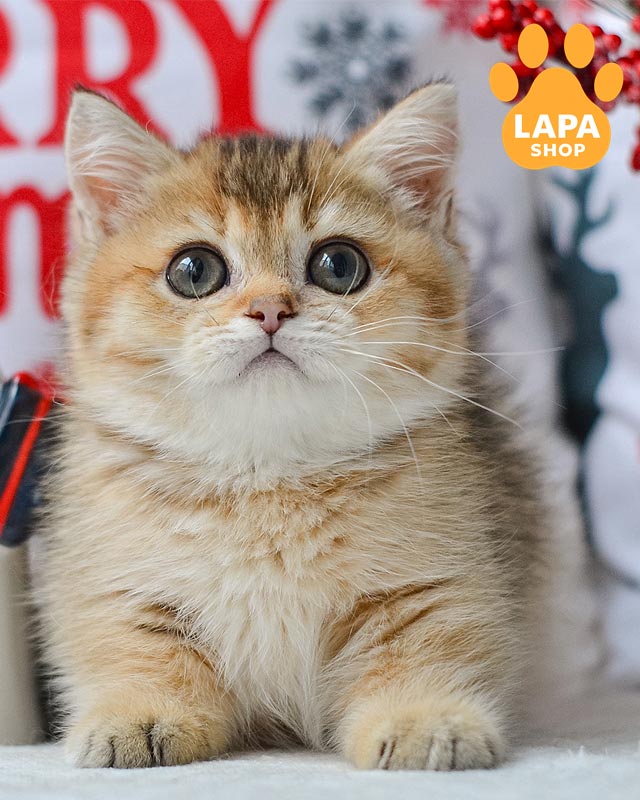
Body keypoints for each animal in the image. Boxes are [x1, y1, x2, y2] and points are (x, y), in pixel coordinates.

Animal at [37, 83, 546, 770]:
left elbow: (425, 645)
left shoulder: (439, 578)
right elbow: (138, 646)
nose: (269, 310)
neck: (266, 477)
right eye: (193, 270)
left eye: (339, 265)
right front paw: (140, 714)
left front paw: (423, 717)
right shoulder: (114, 584)